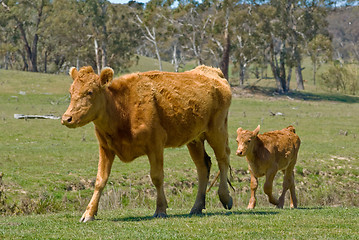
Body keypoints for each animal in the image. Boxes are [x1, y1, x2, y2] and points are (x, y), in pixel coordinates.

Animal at [62, 65, 233, 221]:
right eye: (71, 92)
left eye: (90, 92)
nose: (66, 118)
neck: (122, 109)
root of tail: (212, 71)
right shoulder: (105, 148)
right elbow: (100, 180)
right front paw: (89, 213)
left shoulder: (155, 145)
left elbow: (157, 177)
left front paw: (161, 209)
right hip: (194, 139)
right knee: (203, 167)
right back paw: (197, 207)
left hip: (217, 130)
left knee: (223, 159)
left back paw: (225, 197)